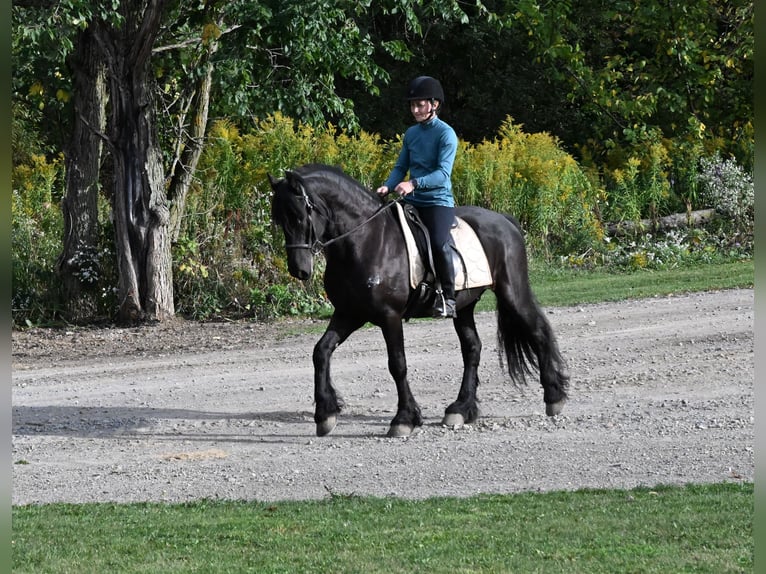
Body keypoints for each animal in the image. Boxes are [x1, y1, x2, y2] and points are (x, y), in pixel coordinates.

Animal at [269, 163, 569, 437]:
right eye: (279, 220)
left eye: (299, 215)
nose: (299, 270)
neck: (365, 240)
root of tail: (505, 221)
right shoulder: (349, 313)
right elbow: (321, 352)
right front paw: (325, 414)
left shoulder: (389, 316)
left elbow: (397, 364)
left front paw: (404, 419)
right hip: (464, 306)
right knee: (472, 349)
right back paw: (461, 409)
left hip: (511, 292)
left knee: (538, 331)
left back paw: (554, 398)